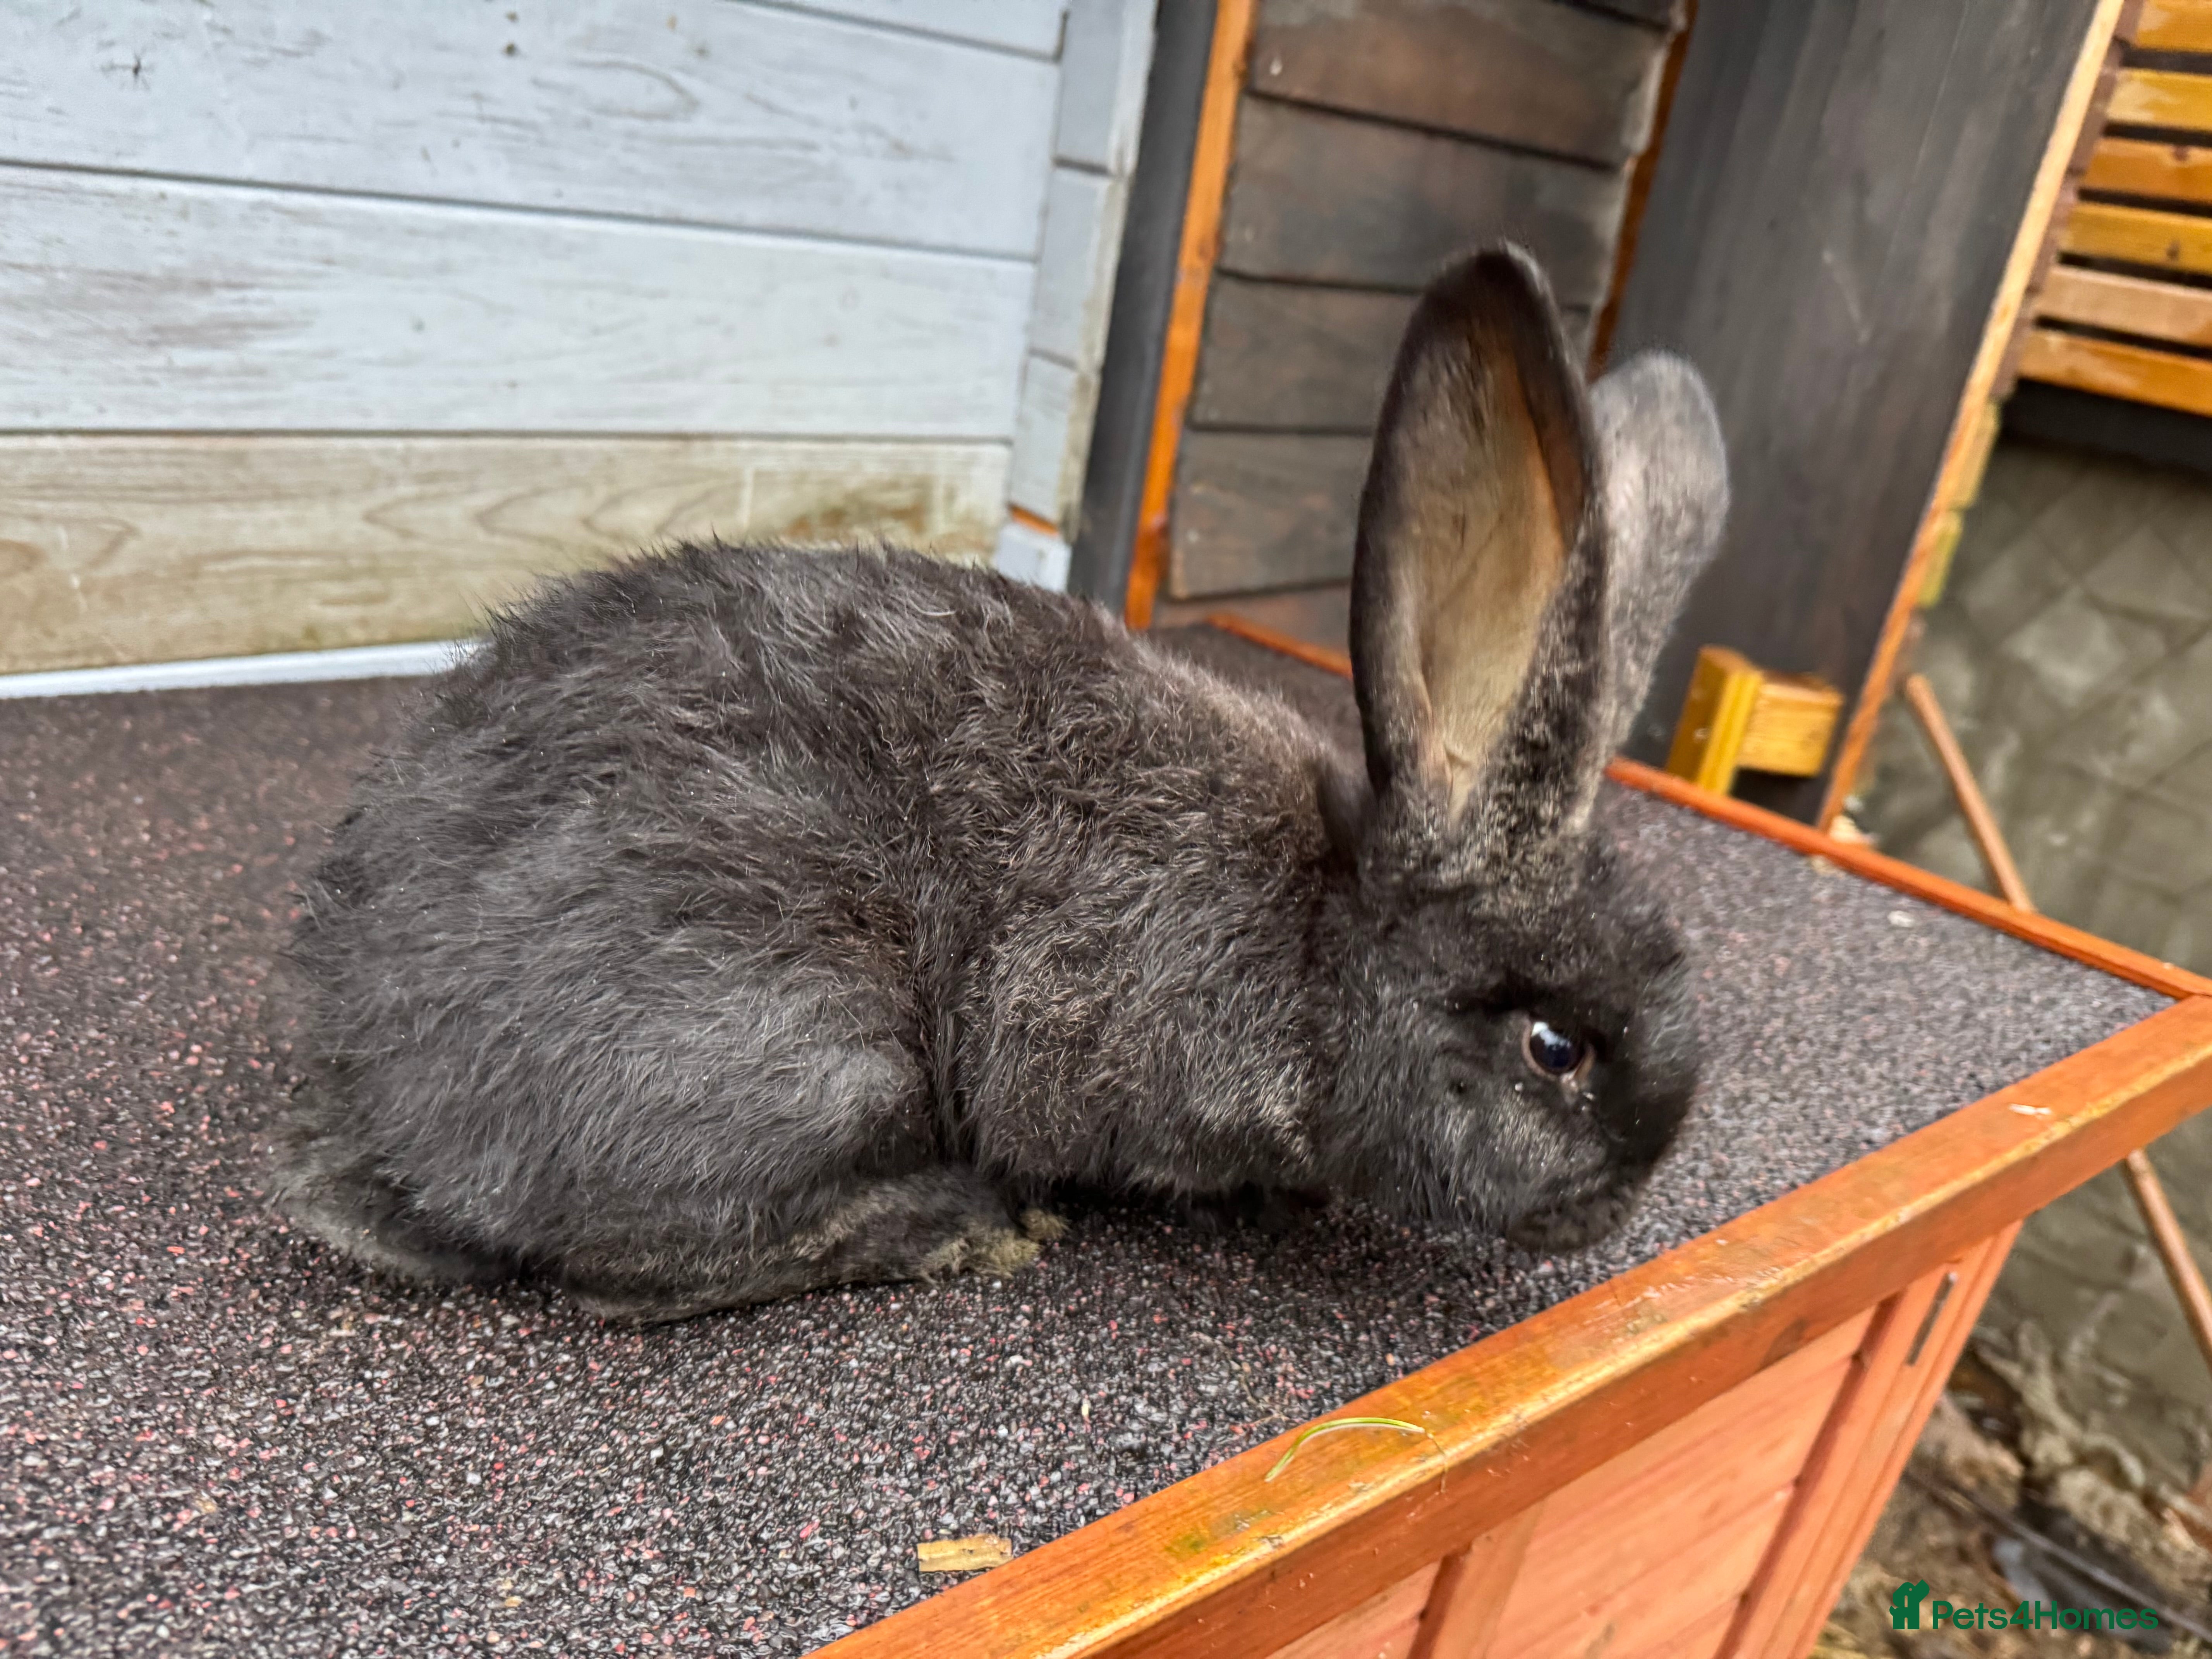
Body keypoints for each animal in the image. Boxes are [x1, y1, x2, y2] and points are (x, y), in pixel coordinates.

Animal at [274, 245, 1728, 1323]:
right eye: (1554, 1048)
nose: (1614, 1205)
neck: (1319, 939)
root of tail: (373, 1077)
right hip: (811, 1045)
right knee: (628, 1279)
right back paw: (967, 1224)